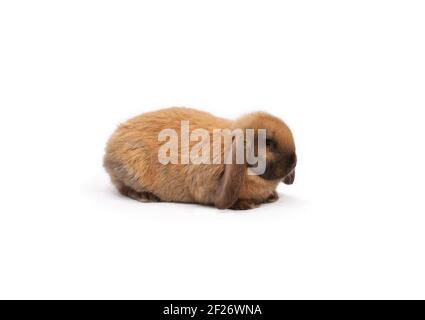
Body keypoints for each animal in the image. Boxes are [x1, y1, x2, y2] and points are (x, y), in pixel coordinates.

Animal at [103, 107, 294, 210]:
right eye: (268, 142)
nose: (293, 162)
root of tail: (109, 149)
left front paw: (272, 197)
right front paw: (245, 205)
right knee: (123, 188)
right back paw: (146, 196)